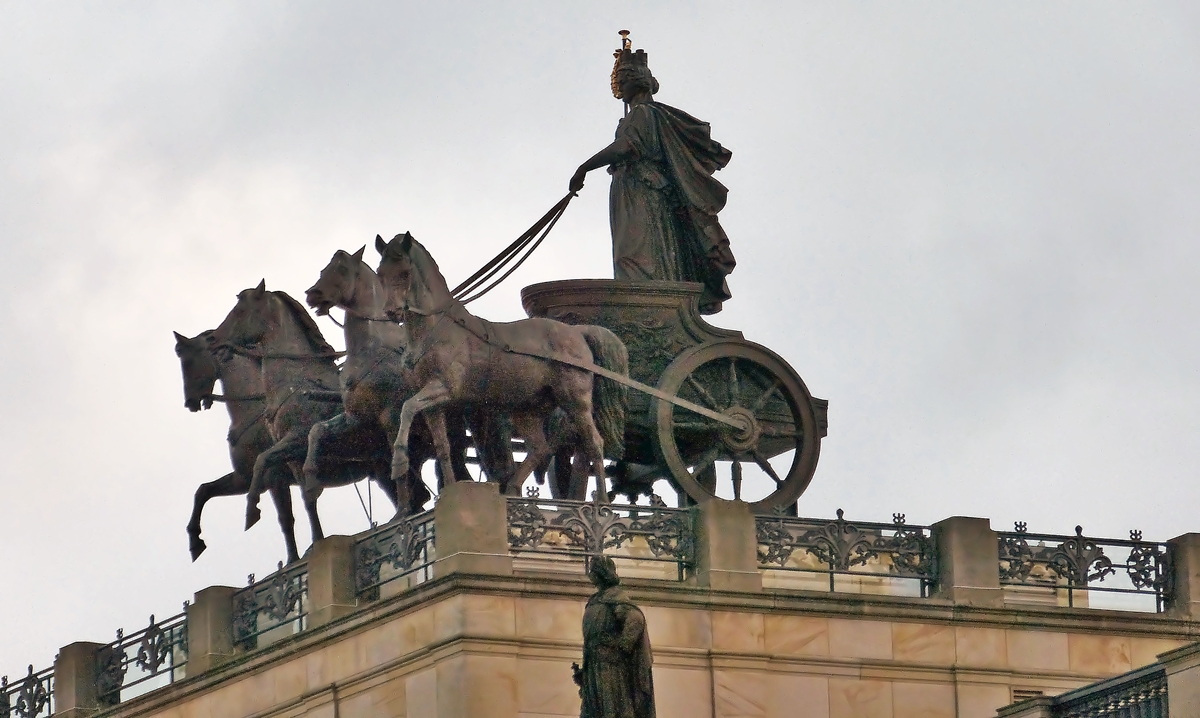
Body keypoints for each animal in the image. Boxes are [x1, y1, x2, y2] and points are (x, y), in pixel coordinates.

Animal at [175, 328, 316, 566]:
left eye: (188, 360)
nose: (190, 402)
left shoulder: (274, 477)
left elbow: (285, 518)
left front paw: (292, 560)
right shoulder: (245, 478)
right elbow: (204, 490)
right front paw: (195, 541)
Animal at [212, 280, 403, 535]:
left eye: (240, 308)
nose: (212, 340)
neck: (297, 380)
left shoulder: (297, 439)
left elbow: (265, 461)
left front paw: (252, 510)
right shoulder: (291, 458)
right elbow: (298, 492)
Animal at [374, 234, 628, 497]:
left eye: (405, 273)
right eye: (380, 273)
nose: (391, 311)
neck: (436, 331)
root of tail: (578, 332)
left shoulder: (443, 388)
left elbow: (407, 407)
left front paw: (399, 463)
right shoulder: (433, 403)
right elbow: (442, 446)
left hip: (575, 401)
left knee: (593, 443)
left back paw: (602, 502)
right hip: (526, 410)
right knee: (540, 447)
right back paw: (512, 487)